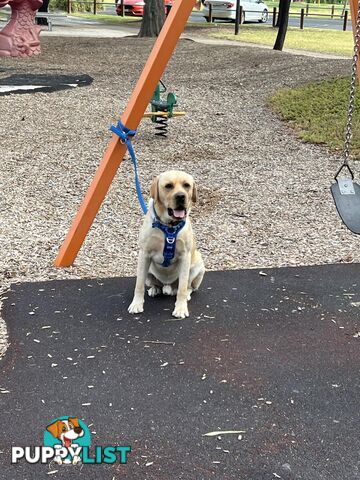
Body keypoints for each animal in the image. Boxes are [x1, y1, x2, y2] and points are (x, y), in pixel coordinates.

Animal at [128, 170, 204, 318]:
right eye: (168, 186)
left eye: (187, 185)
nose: (181, 196)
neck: (169, 226)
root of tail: (168, 286)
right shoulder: (144, 254)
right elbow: (139, 285)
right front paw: (136, 304)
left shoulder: (185, 256)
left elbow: (182, 288)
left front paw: (180, 308)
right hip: (149, 271)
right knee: (154, 284)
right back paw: (155, 289)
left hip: (197, 266)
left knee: (188, 287)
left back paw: (185, 294)